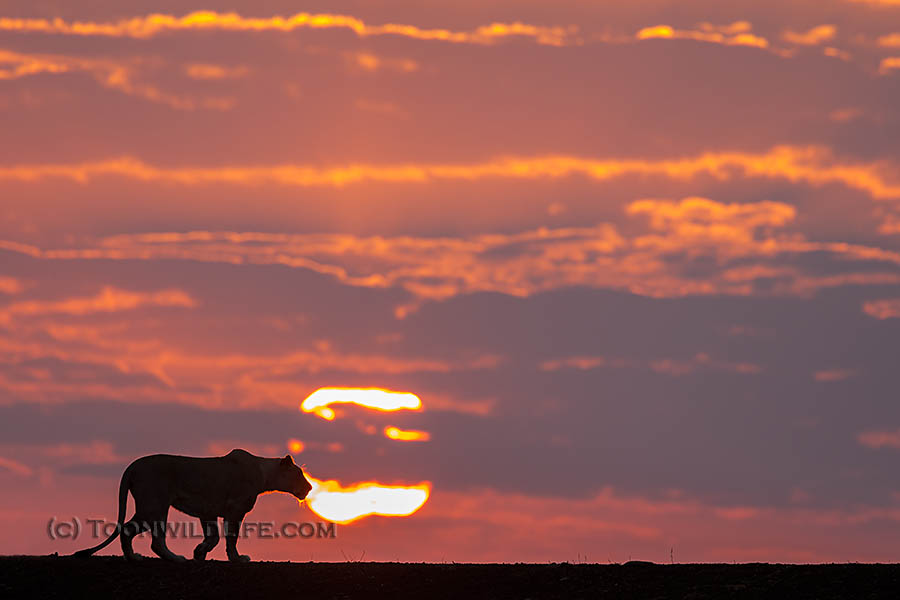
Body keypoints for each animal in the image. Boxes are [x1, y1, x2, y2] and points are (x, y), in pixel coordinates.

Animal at [73, 448, 313, 562]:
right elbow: (231, 538)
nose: (310, 487)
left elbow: (213, 536)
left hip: (150, 506)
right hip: (155, 505)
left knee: (129, 531)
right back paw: (174, 558)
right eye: (299, 474)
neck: (265, 474)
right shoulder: (235, 509)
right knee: (150, 539)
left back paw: (133, 557)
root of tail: (132, 466)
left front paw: (199, 552)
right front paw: (236, 558)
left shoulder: (208, 511)